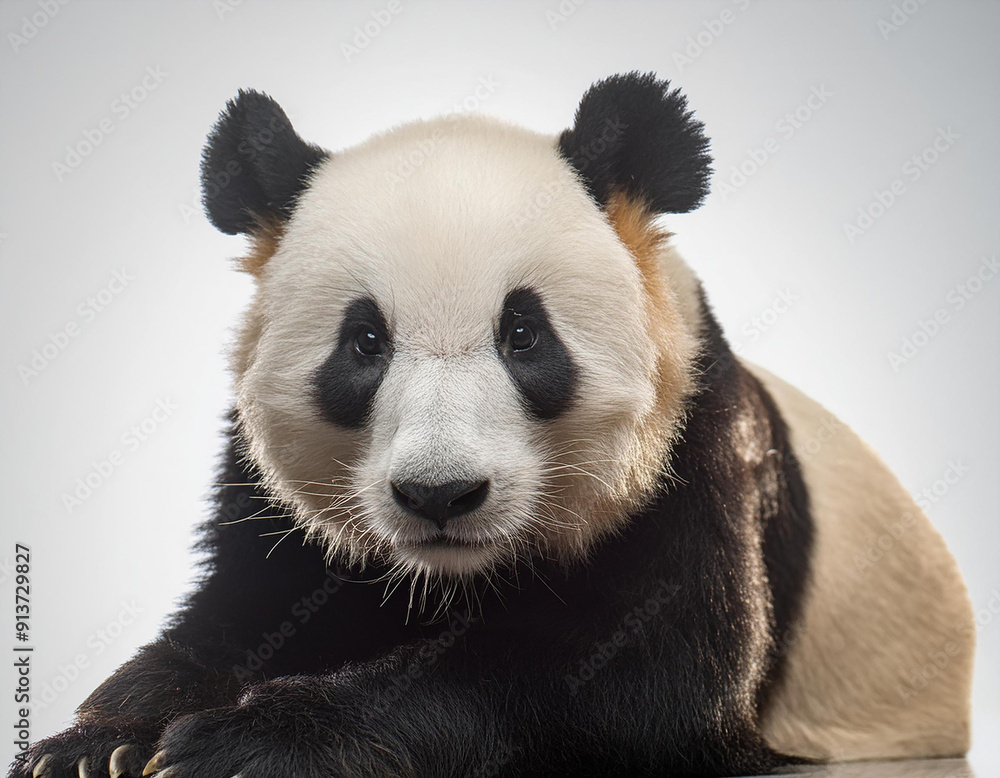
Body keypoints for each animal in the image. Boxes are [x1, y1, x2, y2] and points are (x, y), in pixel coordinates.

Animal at [14, 72, 974, 778]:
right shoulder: (268, 500)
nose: (441, 495)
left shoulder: (692, 454)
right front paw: (94, 744)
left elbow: (639, 684)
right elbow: (234, 616)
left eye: (524, 335)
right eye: (365, 342)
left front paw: (245, 742)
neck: (450, 580)